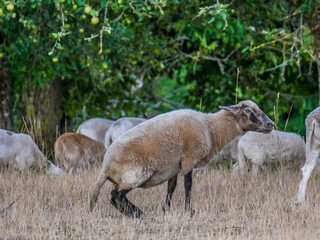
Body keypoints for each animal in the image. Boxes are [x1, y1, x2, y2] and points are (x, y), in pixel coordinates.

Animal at [89, 99, 274, 218]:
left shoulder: (174, 166)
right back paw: (139, 214)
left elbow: (171, 187)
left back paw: (134, 214)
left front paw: (167, 210)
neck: (211, 128)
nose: (271, 124)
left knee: (114, 197)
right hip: (138, 172)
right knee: (116, 195)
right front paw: (189, 211)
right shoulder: (189, 159)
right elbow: (188, 185)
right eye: (248, 110)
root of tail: (105, 166)